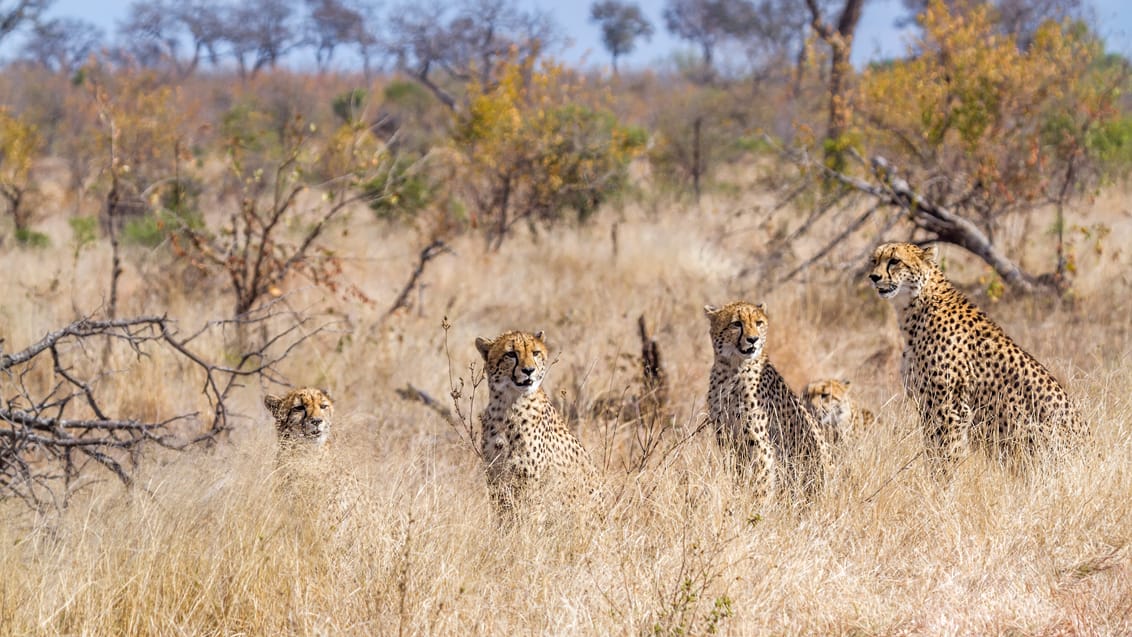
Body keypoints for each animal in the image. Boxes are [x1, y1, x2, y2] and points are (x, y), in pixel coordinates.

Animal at [475, 332, 597, 515]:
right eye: (511, 354)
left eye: (535, 353)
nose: (529, 370)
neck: (508, 406)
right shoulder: (495, 477)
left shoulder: (530, 481)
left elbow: (528, 515)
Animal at [706, 300, 833, 500]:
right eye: (736, 324)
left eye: (758, 323)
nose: (753, 339)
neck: (731, 369)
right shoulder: (726, 437)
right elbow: (737, 474)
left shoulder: (759, 442)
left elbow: (761, 480)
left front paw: (756, 504)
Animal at [864, 242, 1086, 470]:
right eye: (874, 261)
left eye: (894, 261)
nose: (873, 277)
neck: (916, 306)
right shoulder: (928, 406)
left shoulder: (950, 409)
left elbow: (946, 457)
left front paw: (943, 480)